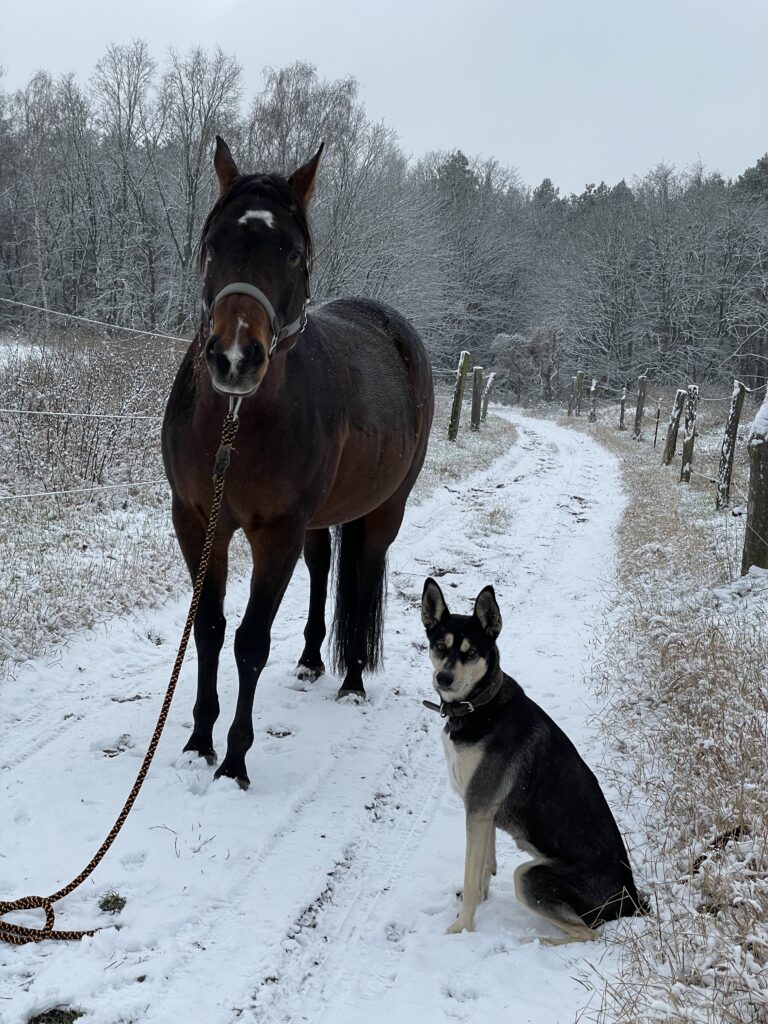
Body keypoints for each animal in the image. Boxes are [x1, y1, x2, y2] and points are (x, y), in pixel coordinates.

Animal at [159, 140, 436, 786]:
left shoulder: (275, 534)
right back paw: (312, 659)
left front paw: (234, 760)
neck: (235, 423)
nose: (235, 358)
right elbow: (209, 629)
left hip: (384, 512)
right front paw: (198, 742)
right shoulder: (198, 522)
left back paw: (353, 680)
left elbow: (250, 642)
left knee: (360, 578)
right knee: (321, 566)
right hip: (318, 520)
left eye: (290, 252)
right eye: (214, 244)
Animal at [421, 577, 651, 942]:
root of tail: (630, 898)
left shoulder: (478, 807)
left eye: (470, 653)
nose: (443, 678)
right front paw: (479, 904)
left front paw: (462, 928)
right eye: (440, 647)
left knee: (588, 934)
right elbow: (483, 868)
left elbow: (472, 874)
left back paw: (533, 940)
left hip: (530, 876)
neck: (479, 707)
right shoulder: (483, 812)